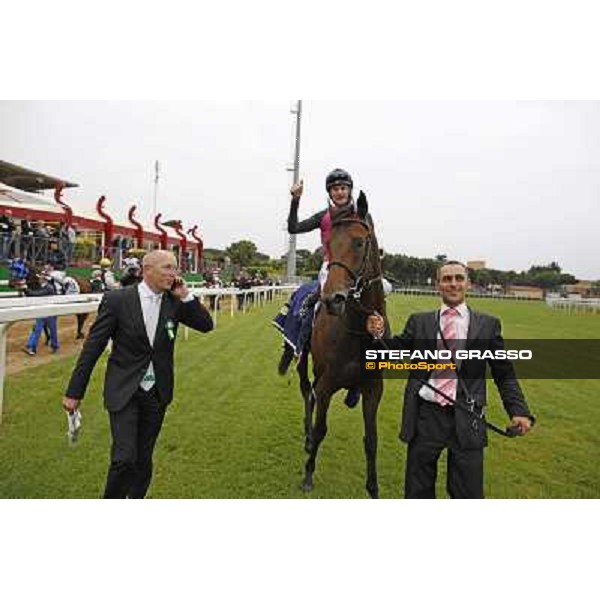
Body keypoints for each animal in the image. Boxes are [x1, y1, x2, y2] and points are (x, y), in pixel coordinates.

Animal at [298, 191, 390, 496]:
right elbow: (321, 429)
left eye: (360, 242)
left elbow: (371, 439)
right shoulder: (328, 384)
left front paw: (373, 487)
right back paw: (307, 438)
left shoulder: (374, 388)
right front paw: (308, 474)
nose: (332, 299)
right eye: (329, 244)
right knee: (307, 391)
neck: (358, 331)